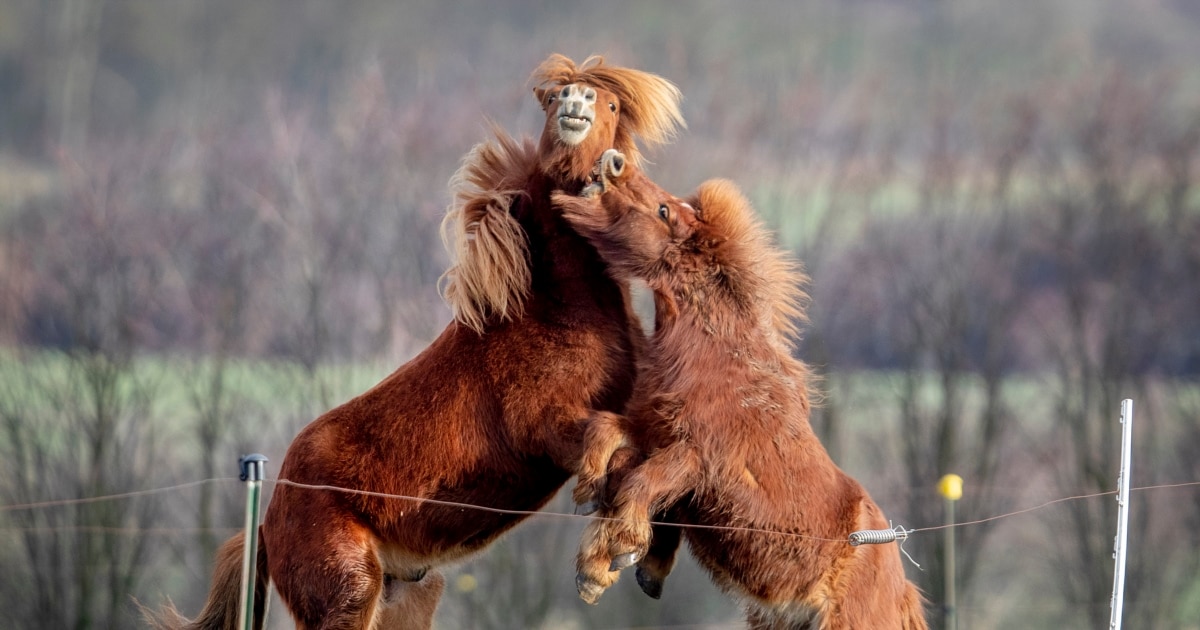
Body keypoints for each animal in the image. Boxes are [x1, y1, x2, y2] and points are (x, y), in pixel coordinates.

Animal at [145, 54, 685, 630]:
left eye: (612, 106)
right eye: (556, 100)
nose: (576, 104)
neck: (551, 308)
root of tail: (266, 525)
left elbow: (651, 459)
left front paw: (636, 561)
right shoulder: (545, 426)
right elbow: (615, 446)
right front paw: (608, 555)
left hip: (407, 598)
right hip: (349, 595)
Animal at [552, 151, 928, 630]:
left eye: (664, 210)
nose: (613, 161)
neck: (720, 363)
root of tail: (902, 590)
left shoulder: (696, 457)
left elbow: (642, 484)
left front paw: (607, 561)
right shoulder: (655, 433)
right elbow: (606, 431)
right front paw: (590, 492)